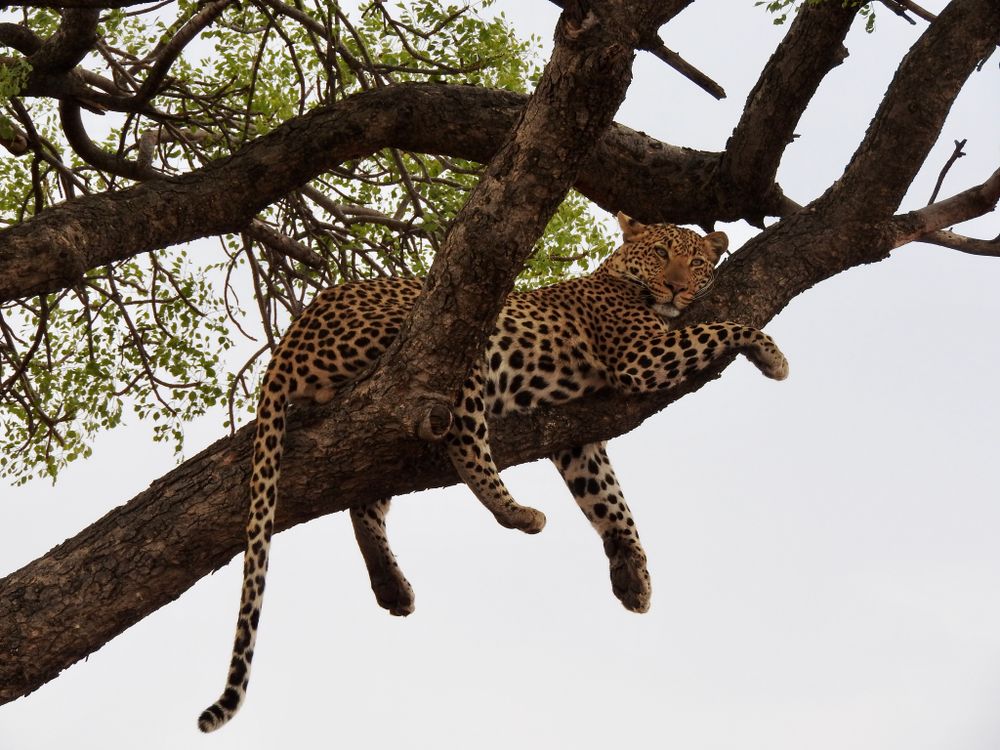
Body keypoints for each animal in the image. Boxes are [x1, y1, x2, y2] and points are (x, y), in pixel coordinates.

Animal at [198, 212, 788, 732]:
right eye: (662, 254)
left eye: (696, 262)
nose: (674, 288)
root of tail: (292, 337)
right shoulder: (642, 356)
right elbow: (725, 324)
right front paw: (773, 357)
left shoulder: (579, 437)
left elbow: (609, 500)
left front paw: (633, 576)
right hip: (459, 347)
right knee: (464, 442)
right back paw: (518, 512)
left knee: (365, 497)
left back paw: (391, 585)